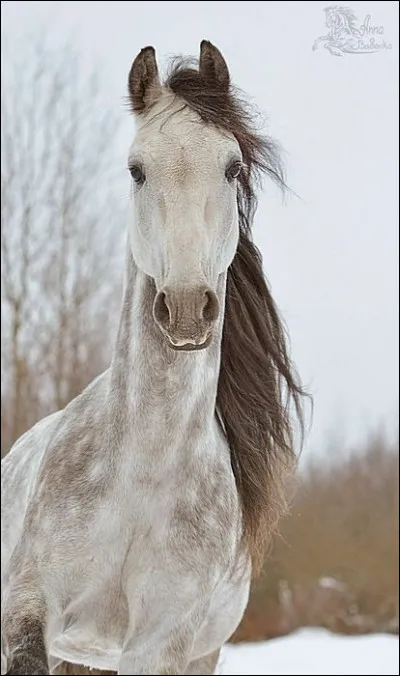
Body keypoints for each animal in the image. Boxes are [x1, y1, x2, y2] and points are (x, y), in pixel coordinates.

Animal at [1, 41, 305, 675]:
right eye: (136, 170)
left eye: (232, 167)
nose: (187, 308)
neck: (142, 474)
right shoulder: (27, 606)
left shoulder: (160, 644)